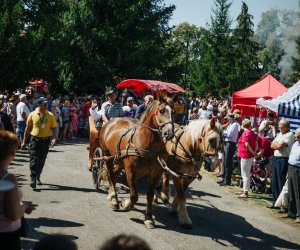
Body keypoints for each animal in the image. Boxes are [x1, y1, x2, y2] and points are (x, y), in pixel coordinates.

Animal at [97, 99, 175, 229]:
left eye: (173, 111)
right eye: (161, 110)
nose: (169, 133)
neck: (147, 142)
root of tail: (111, 121)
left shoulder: (156, 173)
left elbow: (149, 195)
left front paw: (148, 218)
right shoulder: (131, 171)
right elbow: (134, 195)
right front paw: (126, 203)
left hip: (119, 160)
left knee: (114, 174)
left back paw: (111, 196)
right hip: (107, 155)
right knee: (111, 176)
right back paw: (114, 199)